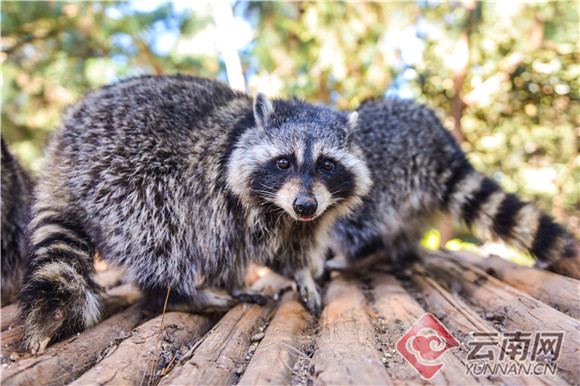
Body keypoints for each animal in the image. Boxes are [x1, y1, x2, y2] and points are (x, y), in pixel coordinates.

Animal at [19, 75, 372, 352]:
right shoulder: (214, 189)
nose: (305, 205)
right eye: (284, 162)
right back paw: (173, 292)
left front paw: (301, 272)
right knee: (158, 226)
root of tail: (61, 146)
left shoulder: (305, 217)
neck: (277, 207)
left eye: (327, 165)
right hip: (117, 166)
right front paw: (231, 282)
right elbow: (221, 247)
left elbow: (295, 244)